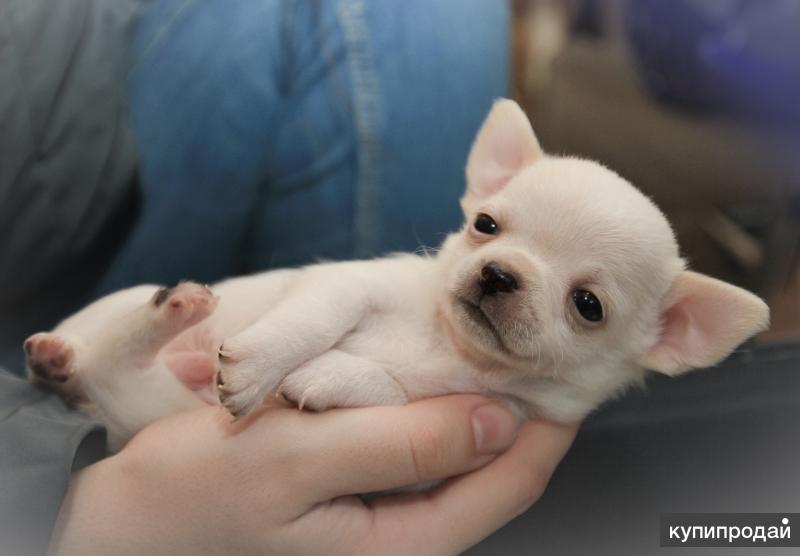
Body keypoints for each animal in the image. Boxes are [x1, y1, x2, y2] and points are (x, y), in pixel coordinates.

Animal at [25, 99, 768, 448]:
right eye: (486, 226)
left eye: (588, 305)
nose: (500, 274)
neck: (447, 341)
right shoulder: (348, 284)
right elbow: (314, 320)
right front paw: (261, 365)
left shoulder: (501, 406)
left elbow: (391, 387)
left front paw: (326, 376)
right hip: (109, 321)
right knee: (103, 341)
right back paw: (128, 325)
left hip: (143, 397)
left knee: (120, 362)